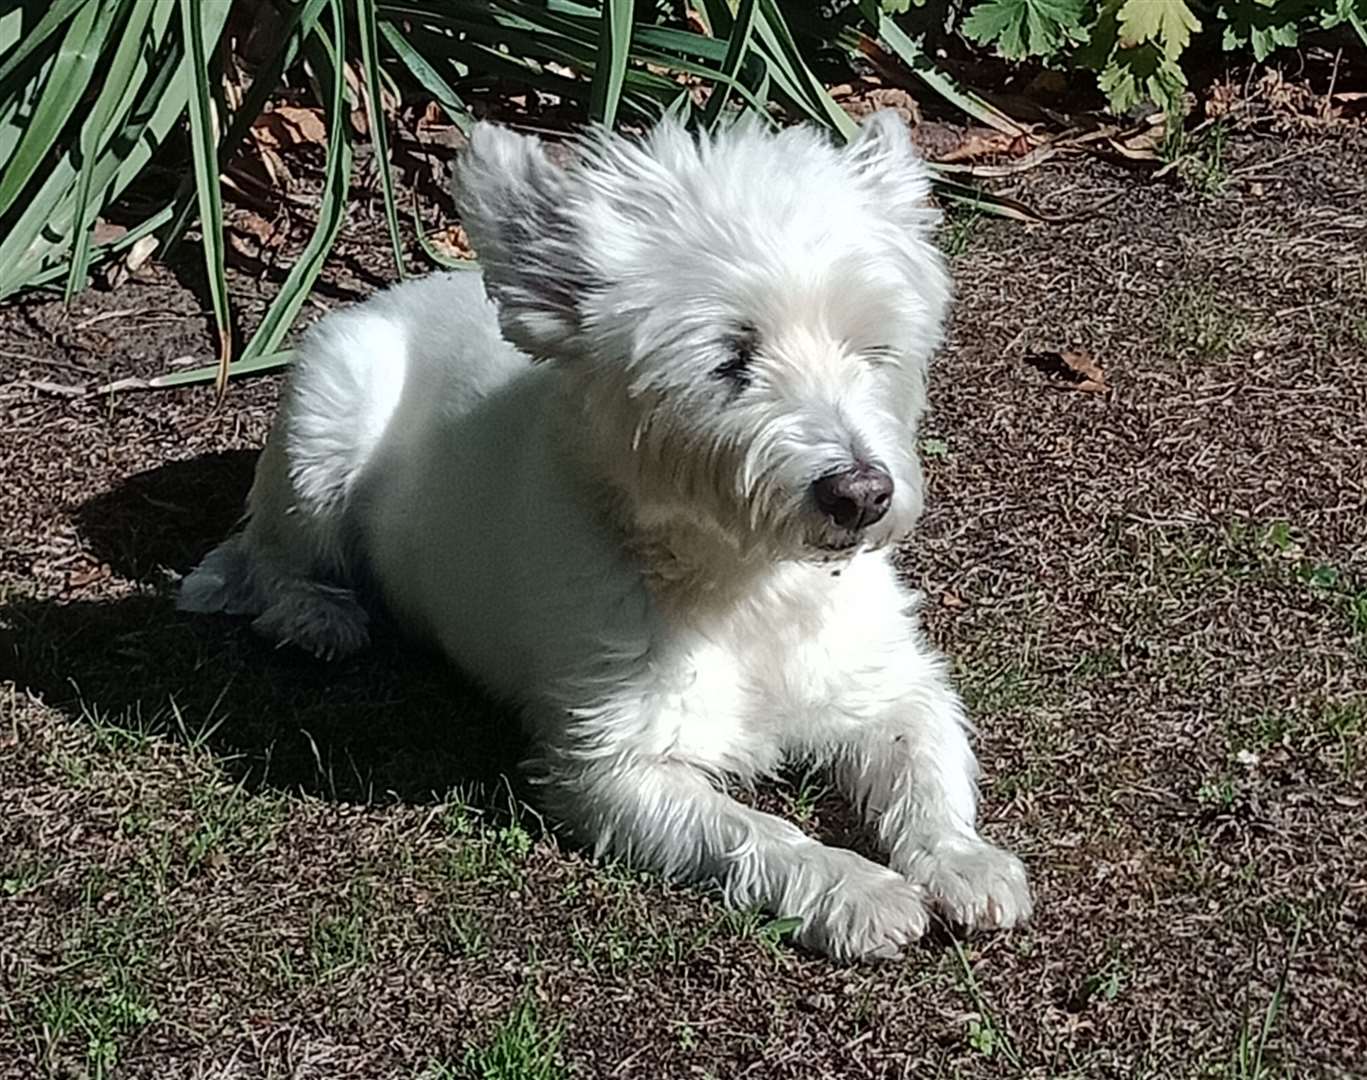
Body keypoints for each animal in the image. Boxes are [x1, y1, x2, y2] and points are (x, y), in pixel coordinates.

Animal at [184, 112, 1033, 962]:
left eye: (873, 350)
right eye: (729, 359)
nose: (859, 495)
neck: (748, 584)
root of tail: (404, 288)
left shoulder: (888, 683)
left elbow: (926, 759)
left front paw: (961, 861)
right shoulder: (610, 768)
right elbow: (754, 832)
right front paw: (852, 887)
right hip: (327, 425)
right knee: (272, 551)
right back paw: (316, 613)